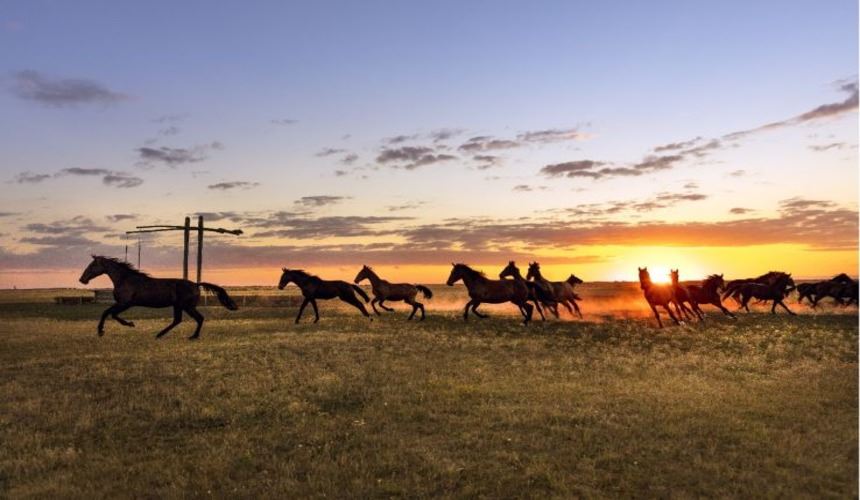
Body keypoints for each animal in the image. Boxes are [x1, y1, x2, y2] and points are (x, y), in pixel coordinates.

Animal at [77, 254, 237, 340]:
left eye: (91, 266)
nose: (82, 280)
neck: (125, 279)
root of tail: (196, 284)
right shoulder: (123, 304)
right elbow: (109, 313)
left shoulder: (125, 303)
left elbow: (109, 313)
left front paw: (105, 330)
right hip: (178, 306)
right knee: (177, 320)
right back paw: (159, 334)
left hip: (187, 306)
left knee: (199, 318)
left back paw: (193, 336)